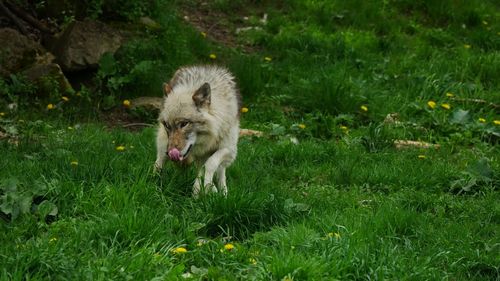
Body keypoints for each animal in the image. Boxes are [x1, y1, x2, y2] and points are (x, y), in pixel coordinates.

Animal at [156, 64, 242, 196]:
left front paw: (205, 188)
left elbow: (211, 164)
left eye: (184, 124)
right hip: (163, 142)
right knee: (159, 162)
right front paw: (204, 189)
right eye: (167, 125)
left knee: (220, 170)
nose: (170, 153)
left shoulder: (229, 149)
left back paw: (222, 192)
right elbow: (204, 169)